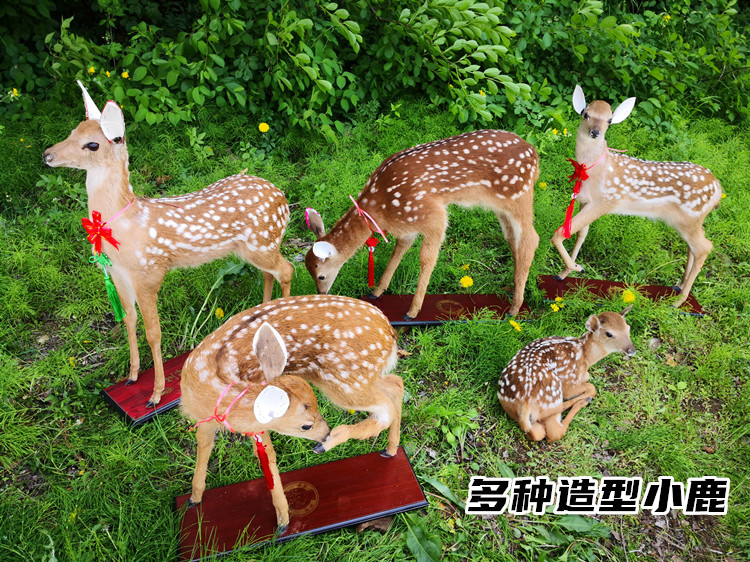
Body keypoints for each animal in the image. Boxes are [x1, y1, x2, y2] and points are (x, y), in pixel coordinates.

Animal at [42, 81, 294, 407]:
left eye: (93, 144)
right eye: (73, 131)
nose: (47, 154)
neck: (125, 222)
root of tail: (283, 198)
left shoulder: (149, 272)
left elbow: (154, 332)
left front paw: (156, 394)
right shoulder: (119, 273)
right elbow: (129, 320)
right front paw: (132, 376)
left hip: (263, 243)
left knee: (287, 269)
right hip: (254, 248)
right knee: (269, 273)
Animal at [181, 294, 403, 531]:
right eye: (306, 425)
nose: (325, 433)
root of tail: (390, 331)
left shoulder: (258, 425)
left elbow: (269, 459)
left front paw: (282, 522)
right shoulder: (205, 421)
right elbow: (204, 448)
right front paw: (194, 498)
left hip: (346, 382)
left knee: (385, 408)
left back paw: (330, 445)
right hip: (359, 378)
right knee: (396, 385)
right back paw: (389, 449)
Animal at [304, 130, 540, 320]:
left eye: (321, 275)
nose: (321, 293)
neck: (379, 206)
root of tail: (535, 155)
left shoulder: (431, 215)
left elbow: (426, 259)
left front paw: (412, 311)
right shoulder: (407, 224)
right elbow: (399, 249)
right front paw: (377, 291)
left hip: (518, 196)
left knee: (531, 239)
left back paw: (514, 308)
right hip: (501, 207)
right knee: (513, 238)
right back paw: (512, 289)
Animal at [497, 306, 635, 442]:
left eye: (628, 328)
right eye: (609, 334)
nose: (632, 350)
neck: (585, 356)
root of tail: (523, 405)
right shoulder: (570, 381)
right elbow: (591, 387)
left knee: (538, 432)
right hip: (553, 393)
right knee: (554, 431)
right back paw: (583, 401)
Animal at [551, 85, 723, 308]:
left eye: (609, 120)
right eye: (586, 114)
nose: (595, 132)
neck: (595, 168)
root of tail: (717, 188)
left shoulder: (606, 201)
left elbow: (560, 233)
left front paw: (576, 267)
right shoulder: (585, 201)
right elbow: (580, 234)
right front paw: (564, 273)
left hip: (690, 218)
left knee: (704, 248)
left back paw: (678, 302)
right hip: (686, 222)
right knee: (693, 248)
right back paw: (679, 286)